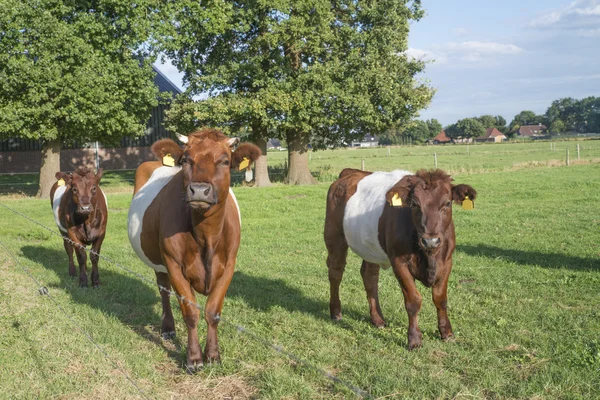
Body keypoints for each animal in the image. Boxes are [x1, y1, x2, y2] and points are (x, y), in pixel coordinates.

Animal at [129, 129, 260, 372]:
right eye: (186, 160)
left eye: (225, 161)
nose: (199, 190)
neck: (205, 236)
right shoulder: (173, 264)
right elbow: (190, 312)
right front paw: (194, 359)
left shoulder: (229, 266)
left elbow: (213, 312)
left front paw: (214, 356)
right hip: (159, 261)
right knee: (163, 289)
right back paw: (168, 328)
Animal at [326, 167, 476, 348]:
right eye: (415, 204)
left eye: (447, 203)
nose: (430, 240)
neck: (429, 256)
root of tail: (350, 173)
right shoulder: (399, 262)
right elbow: (413, 301)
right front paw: (414, 339)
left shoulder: (447, 261)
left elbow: (440, 299)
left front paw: (446, 333)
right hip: (334, 237)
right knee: (336, 272)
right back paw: (336, 313)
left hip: (370, 247)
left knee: (369, 276)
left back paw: (378, 319)